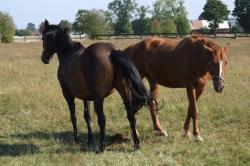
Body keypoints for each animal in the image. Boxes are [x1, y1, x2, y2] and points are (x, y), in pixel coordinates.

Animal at [40, 20, 152, 151]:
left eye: (43, 38)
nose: (44, 58)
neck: (68, 54)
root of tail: (111, 52)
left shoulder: (68, 94)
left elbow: (73, 116)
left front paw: (77, 140)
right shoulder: (86, 97)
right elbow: (87, 116)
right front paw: (89, 140)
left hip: (99, 98)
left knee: (102, 119)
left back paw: (101, 146)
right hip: (124, 92)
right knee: (131, 116)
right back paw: (136, 144)